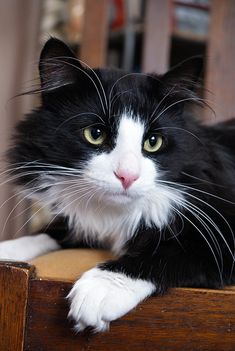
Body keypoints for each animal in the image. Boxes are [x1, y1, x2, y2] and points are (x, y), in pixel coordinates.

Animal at [0, 38, 235, 332]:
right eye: (95, 134)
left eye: (153, 142)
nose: (127, 176)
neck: (115, 215)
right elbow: (50, 232)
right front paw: (8, 250)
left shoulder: (216, 233)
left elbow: (166, 251)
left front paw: (102, 288)